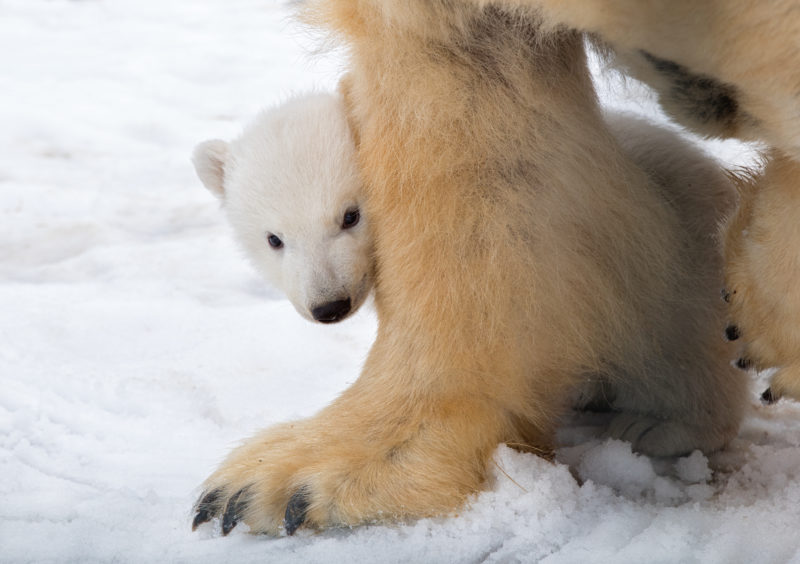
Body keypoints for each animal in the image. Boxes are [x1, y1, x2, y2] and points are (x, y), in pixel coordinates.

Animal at [191, 3, 748, 532]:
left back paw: (657, 424)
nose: (329, 305)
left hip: (681, 261)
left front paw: (283, 483)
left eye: (350, 216)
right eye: (274, 240)